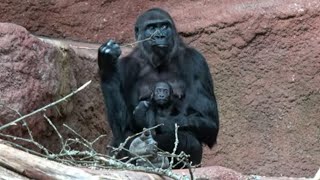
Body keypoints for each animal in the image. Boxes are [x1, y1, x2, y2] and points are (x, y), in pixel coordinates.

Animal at [96, 8, 219, 166]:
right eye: (152, 28)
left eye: (164, 26)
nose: (160, 36)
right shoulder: (125, 66)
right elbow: (122, 126)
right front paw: (107, 63)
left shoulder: (197, 62)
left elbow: (208, 122)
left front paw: (147, 118)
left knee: (188, 140)